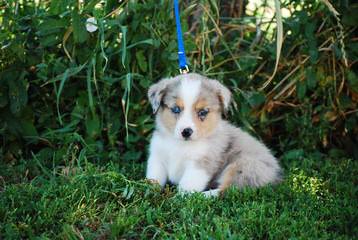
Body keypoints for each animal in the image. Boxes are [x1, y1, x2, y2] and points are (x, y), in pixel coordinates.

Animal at [145, 73, 282, 195]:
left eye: (202, 112)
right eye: (176, 109)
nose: (186, 132)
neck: (180, 144)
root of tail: (277, 174)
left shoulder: (201, 164)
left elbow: (187, 187)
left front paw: (180, 199)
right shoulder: (157, 158)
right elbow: (154, 178)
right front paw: (148, 191)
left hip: (244, 166)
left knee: (227, 190)